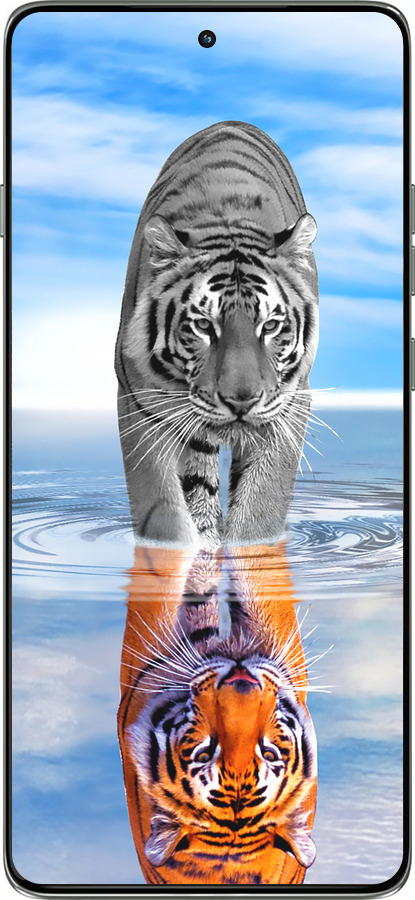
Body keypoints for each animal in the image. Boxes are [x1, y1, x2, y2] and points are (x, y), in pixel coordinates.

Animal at [115, 120, 319, 549]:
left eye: (270, 326)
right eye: (203, 325)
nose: (241, 401)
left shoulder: (290, 403)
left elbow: (261, 508)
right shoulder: (139, 400)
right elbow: (163, 512)